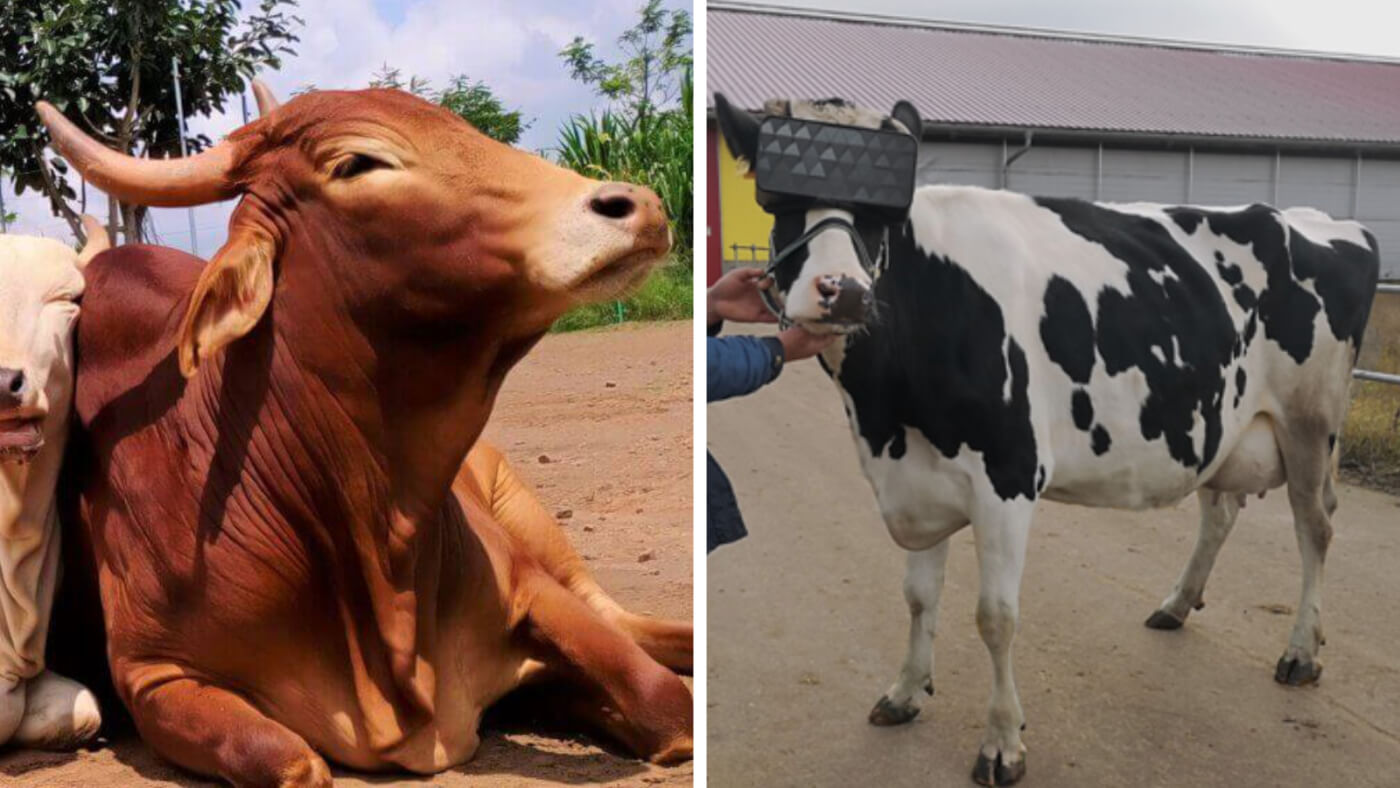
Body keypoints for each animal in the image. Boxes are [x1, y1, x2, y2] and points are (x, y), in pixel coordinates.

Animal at [40, 83, 697, 783]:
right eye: (356, 162)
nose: (639, 205)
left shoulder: (528, 583)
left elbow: (666, 704)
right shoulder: (154, 675)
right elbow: (293, 764)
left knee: (625, 620)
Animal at [716, 93, 1383, 788]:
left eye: (882, 216)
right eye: (779, 205)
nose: (842, 291)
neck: (885, 414)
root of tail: (1325, 221)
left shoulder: (1007, 476)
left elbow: (995, 617)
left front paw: (1002, 743)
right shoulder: (917, 477)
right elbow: (919, 597)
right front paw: (904, 692)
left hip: (1311, 421)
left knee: (1315, 526)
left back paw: (1301, 652)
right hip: (1218, 419)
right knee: (1221, 508)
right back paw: (1177, 604)